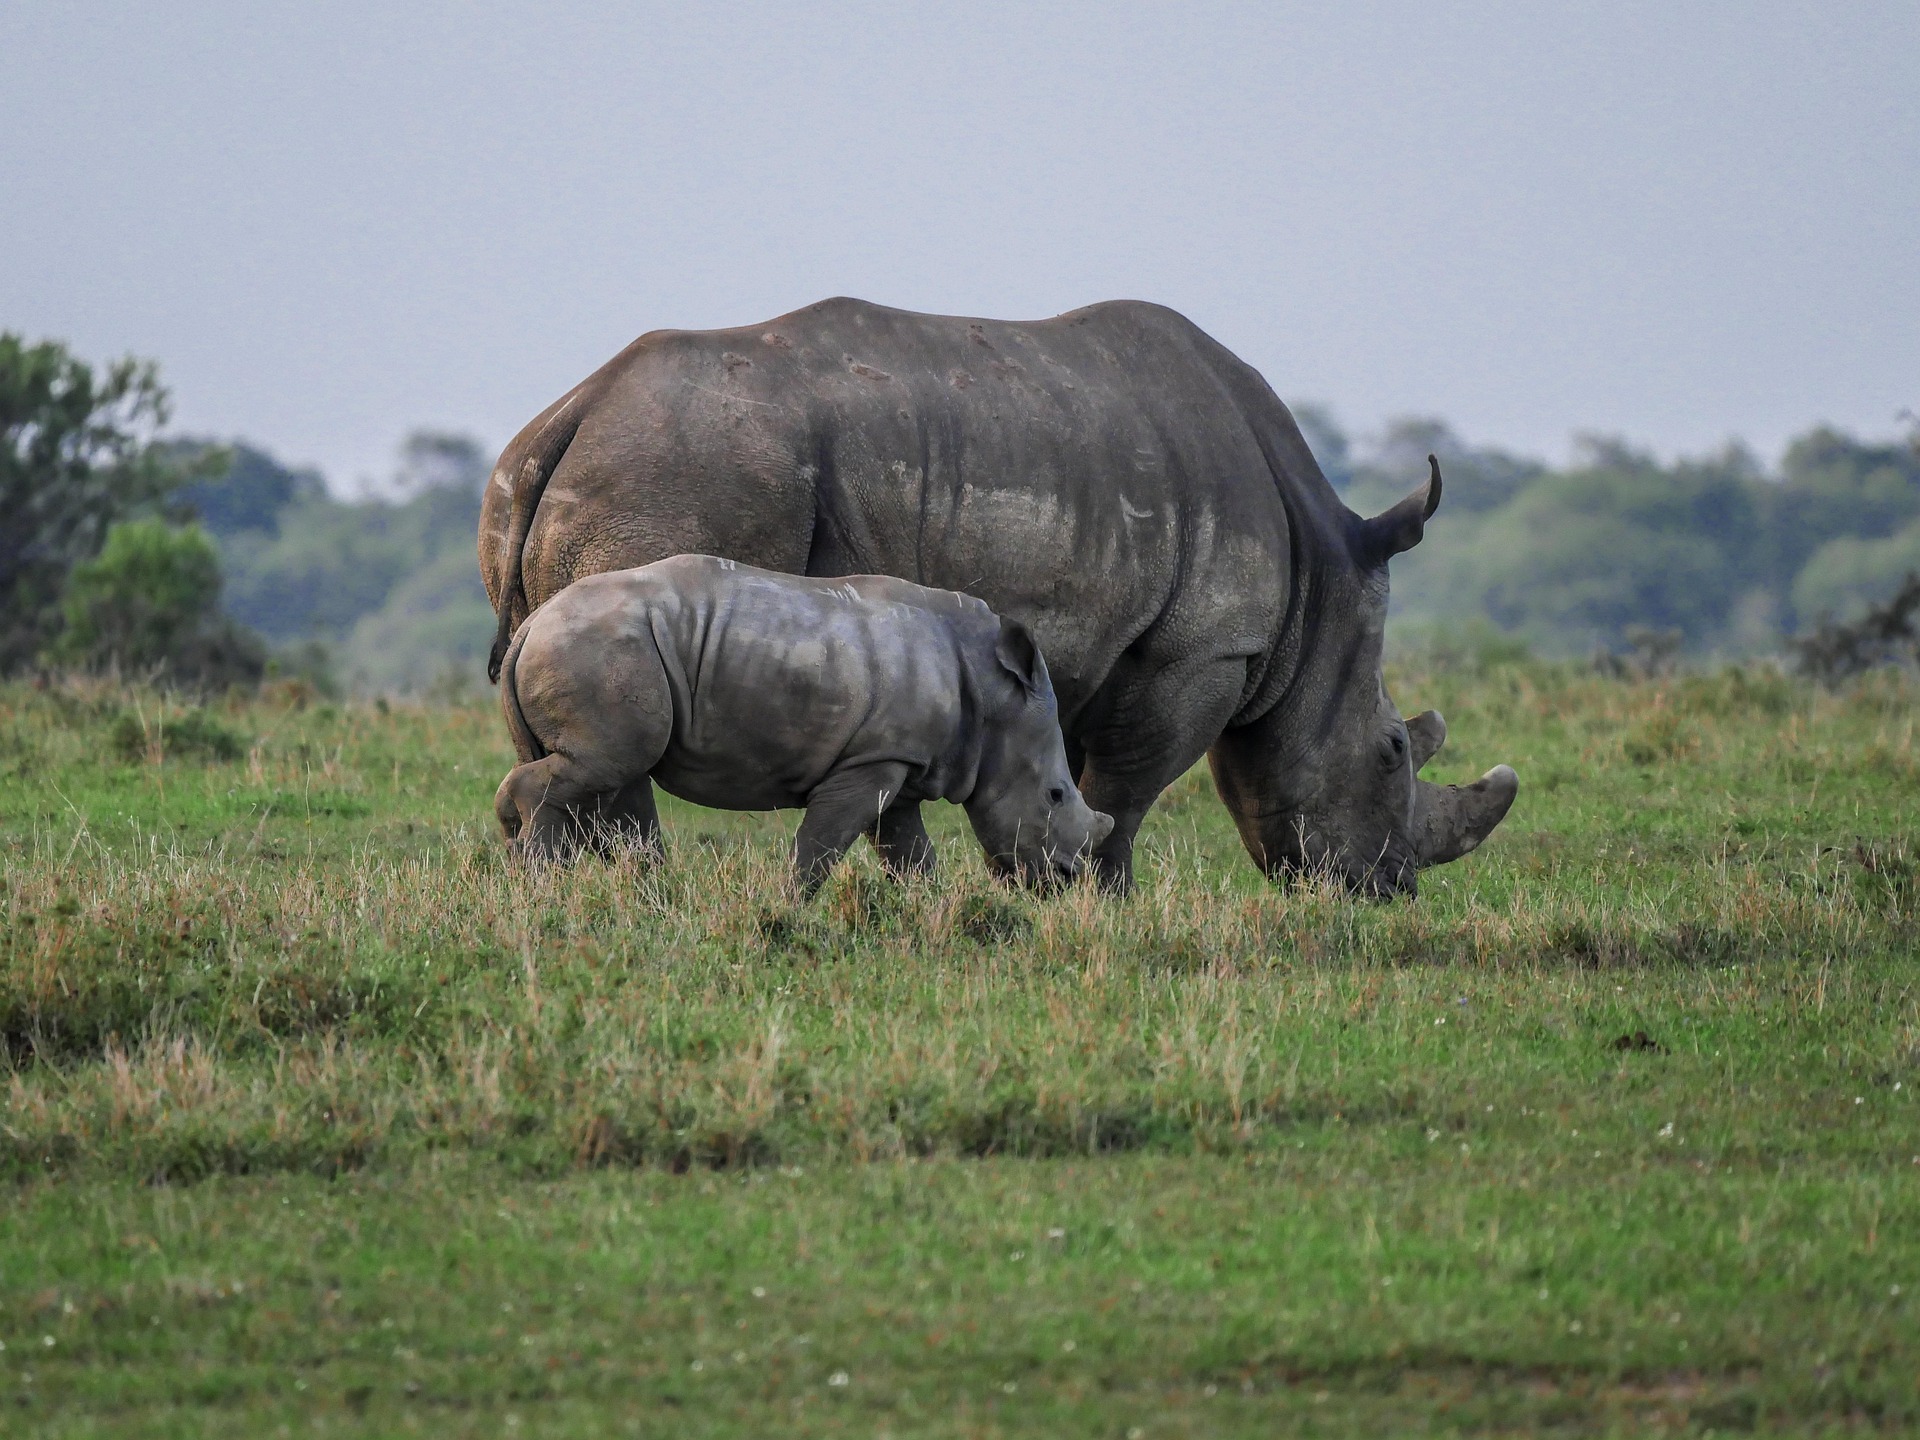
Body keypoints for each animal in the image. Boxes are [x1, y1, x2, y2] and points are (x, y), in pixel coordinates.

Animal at [491, 556, 1113, 898]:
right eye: (1055, 795)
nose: (1065, 880)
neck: (992, 695)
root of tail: (531, 624)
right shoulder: (870, 761)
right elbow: (822, 844)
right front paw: (786, 909)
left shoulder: (897, 761)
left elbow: (910, 854)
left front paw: (937, 912)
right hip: (599, 649)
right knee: (607, 765)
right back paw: (541, 882)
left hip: (594, 648)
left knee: (608, 777)